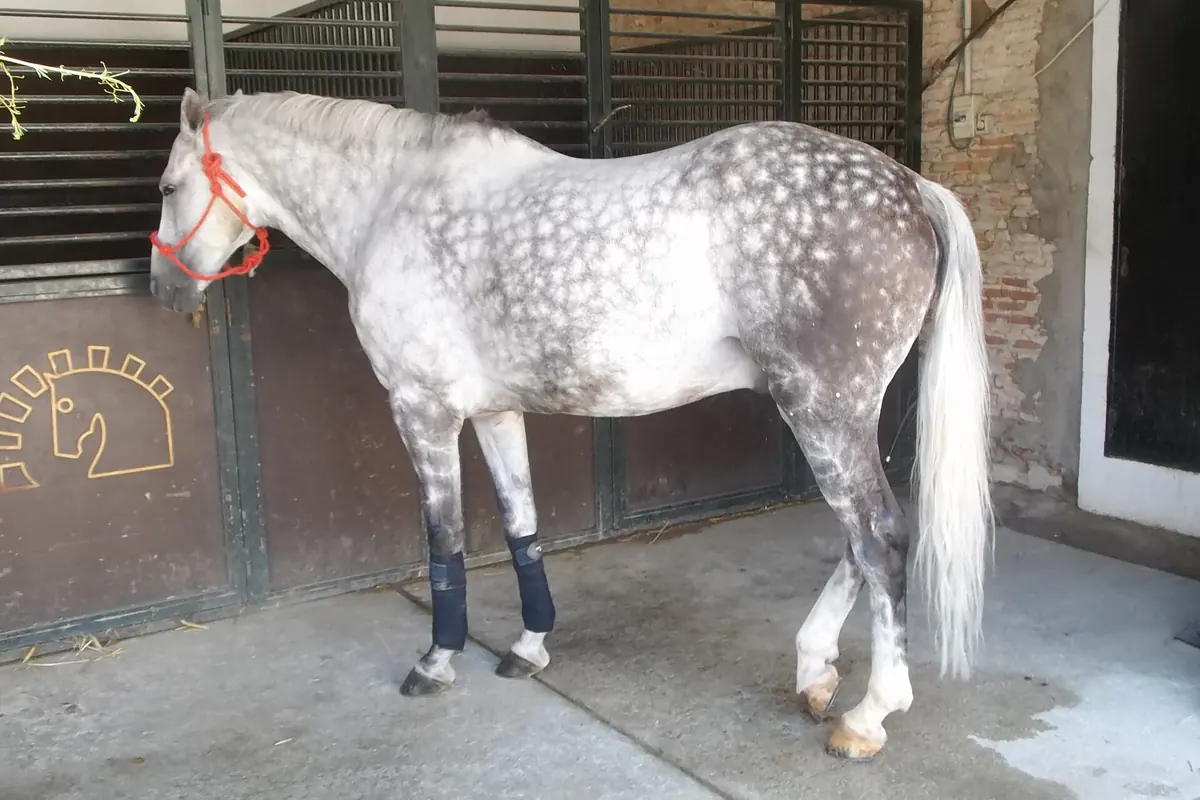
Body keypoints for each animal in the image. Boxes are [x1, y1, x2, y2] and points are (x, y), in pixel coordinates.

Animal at [148, 87, 993, 762]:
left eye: (167, 185)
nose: (164, 290)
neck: (391, 206)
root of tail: (912, 186)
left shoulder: (422, 408)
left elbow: (444, 540)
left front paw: (435, 663)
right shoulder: (494, 411)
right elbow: (522, 525)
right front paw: (528, 648)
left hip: (823, 408)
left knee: (878, 536)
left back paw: (868, 715)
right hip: (839, 413)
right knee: (861, 537)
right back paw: (815, 669)